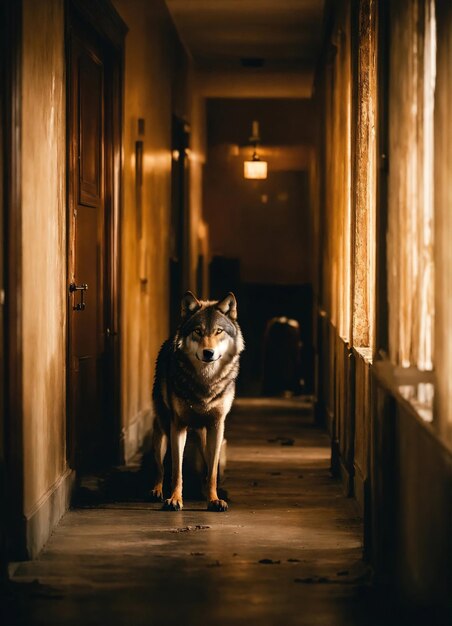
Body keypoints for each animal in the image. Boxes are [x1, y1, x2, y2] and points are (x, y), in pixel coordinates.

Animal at [151, 290, 244, 510]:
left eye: (218, 331)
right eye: (198, 332)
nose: (208, 353)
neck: (205, 382)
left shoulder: (217, 426)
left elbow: (212, 471)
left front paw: (214, 499)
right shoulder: (178, 426)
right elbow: (177, 470)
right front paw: (175, 499)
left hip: (204, 436)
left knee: (207, 466)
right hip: (162, 430)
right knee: (160, 467)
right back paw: (157, 491)